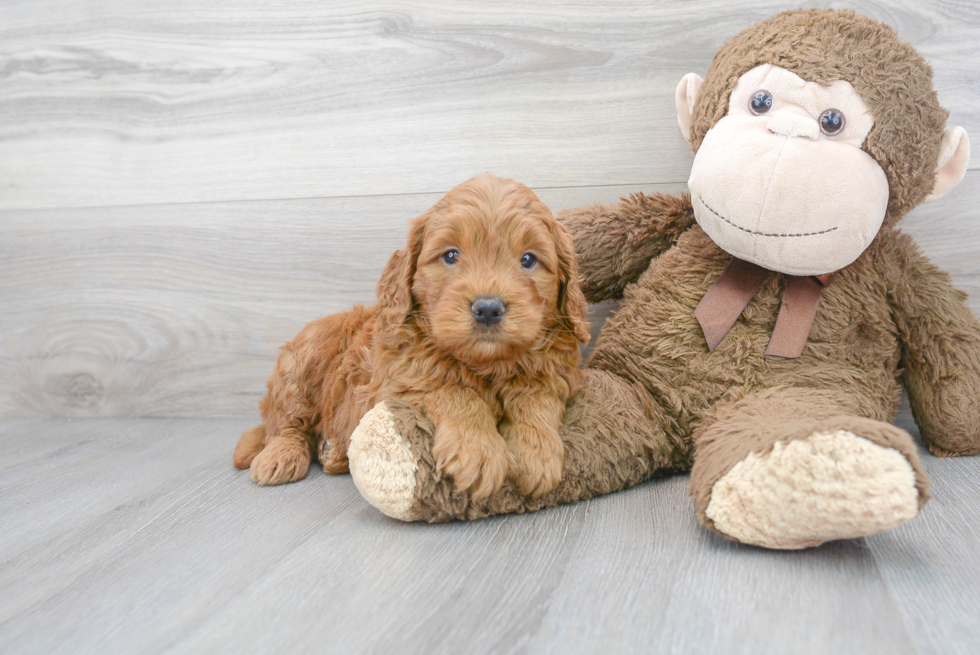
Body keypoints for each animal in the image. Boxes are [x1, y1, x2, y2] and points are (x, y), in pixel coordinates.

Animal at [234, 173, 588, 498]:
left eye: (528, 259)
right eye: (450, 255)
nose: (488, 308)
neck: (485, 364)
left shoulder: (553, 372)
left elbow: (536, 400)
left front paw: (536, 453)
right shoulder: (402, 379)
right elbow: (455, 391)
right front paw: (477, 451)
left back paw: (331, 453)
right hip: (300, 364)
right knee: (286, 424)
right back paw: (281, 457)